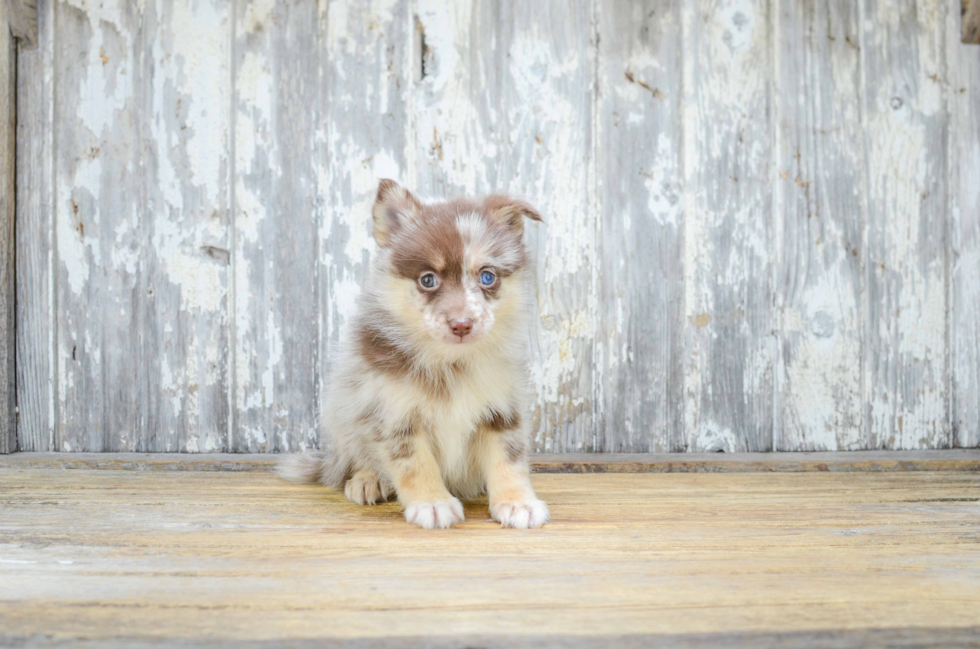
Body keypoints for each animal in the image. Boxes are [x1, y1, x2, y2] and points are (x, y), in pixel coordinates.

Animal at [278, 180, 552, 528]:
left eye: (487, 277)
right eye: (428, 280)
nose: (461, 324)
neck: (450, 363)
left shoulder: (502, 408)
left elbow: (509, 458)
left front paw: (518, 503)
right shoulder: (392, 414)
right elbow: (415, 465)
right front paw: (432, 503)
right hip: (342, 413)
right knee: (349, 462)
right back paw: (367, 480)